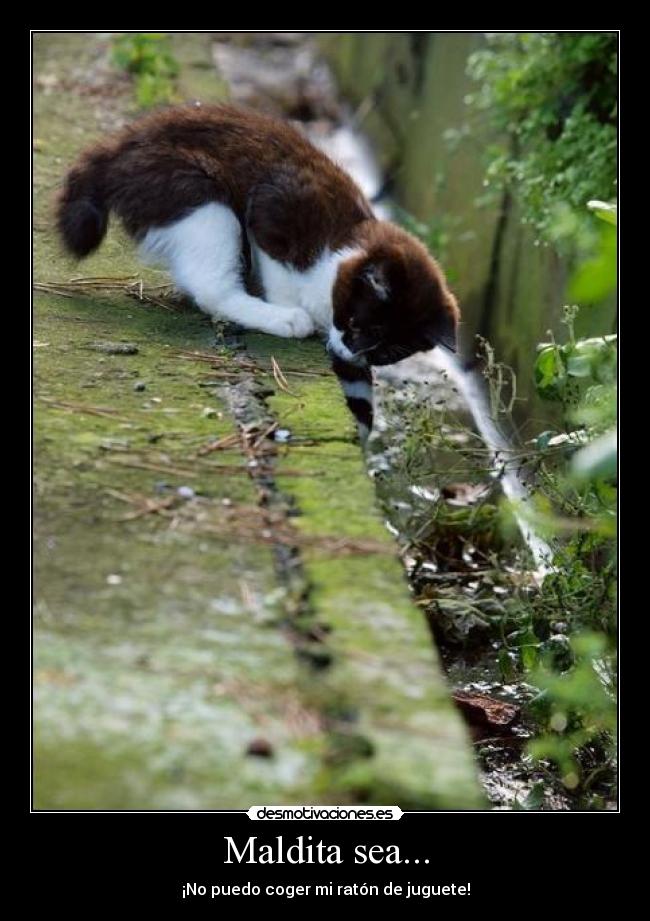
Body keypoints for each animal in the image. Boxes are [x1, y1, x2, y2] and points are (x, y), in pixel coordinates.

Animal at [58, 104, 458, 434]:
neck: (342, 242)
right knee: (214, 290)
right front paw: (290, 309)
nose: (349, 351)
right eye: (361, 326)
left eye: (387, 352)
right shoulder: (274, 212)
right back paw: (282, 319)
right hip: (198, 193)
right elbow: (281, 272)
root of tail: (118, 144)